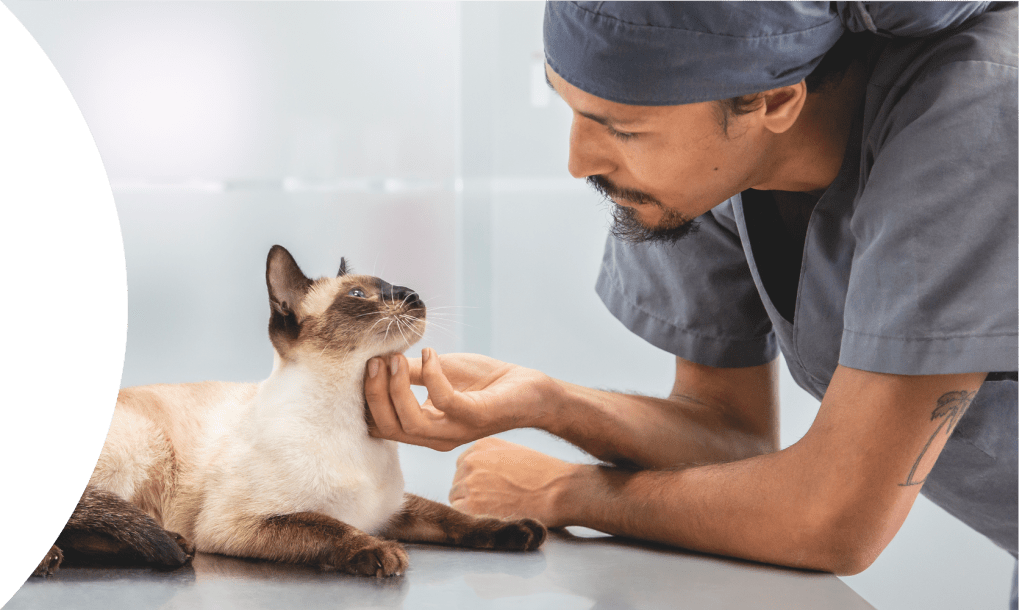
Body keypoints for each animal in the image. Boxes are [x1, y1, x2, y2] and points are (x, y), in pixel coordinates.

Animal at [31, 245, 547, 576]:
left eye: (395, 288)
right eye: (359, 297)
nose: (414, 296)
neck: (353, 423)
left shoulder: (391, 510)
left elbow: (455, 517)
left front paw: (515, 529)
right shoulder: (243, 524)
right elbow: (328, 525)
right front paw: (380, 552)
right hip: (144, 448)